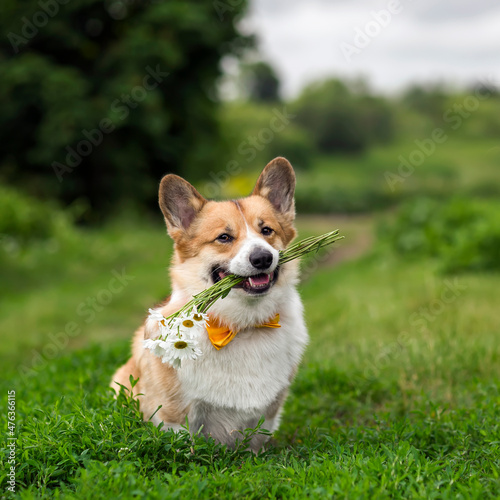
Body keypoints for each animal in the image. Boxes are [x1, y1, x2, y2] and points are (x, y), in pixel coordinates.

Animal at [111, 156, 308, 450]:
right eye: (224, 237)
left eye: (267, 231)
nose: (262, 258)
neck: (239, 326)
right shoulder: (174, 414)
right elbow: (184, 444)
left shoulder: (269, 413)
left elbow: (257, 439)